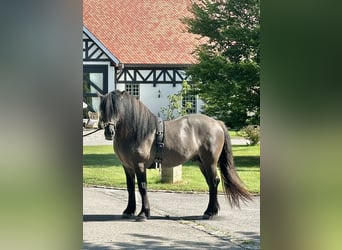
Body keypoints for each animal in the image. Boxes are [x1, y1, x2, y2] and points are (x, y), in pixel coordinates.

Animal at [97, 90, 252, 221]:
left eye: (118, 109)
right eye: (103, 109)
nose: (109, 132)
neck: (136, 132)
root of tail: (217, 123)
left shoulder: (139, 165)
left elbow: (142, 187)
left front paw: (143, 214)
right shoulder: (128, 166)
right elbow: (130, 187)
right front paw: (129, 211)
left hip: (210, 162)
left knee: (214, 182)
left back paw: (210, 212)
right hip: (202, 162)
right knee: (211, 183)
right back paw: (211, 211)